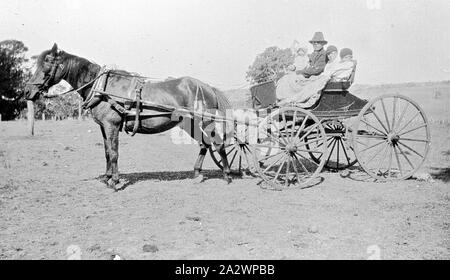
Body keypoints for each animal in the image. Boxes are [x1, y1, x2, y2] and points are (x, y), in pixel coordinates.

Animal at [24, 43, 232, 191]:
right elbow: (107, 152)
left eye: (46, 64)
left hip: (204, 121)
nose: (27, 91)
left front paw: (115, 182)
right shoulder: (103, 127)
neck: (102, 88)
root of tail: (207, 86)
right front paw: (107, 177)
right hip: (189, 123)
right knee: (204, 144)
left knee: (218, 144)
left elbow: (115, 153)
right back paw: (197, 174)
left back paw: (227, 175)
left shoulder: (112, 125)